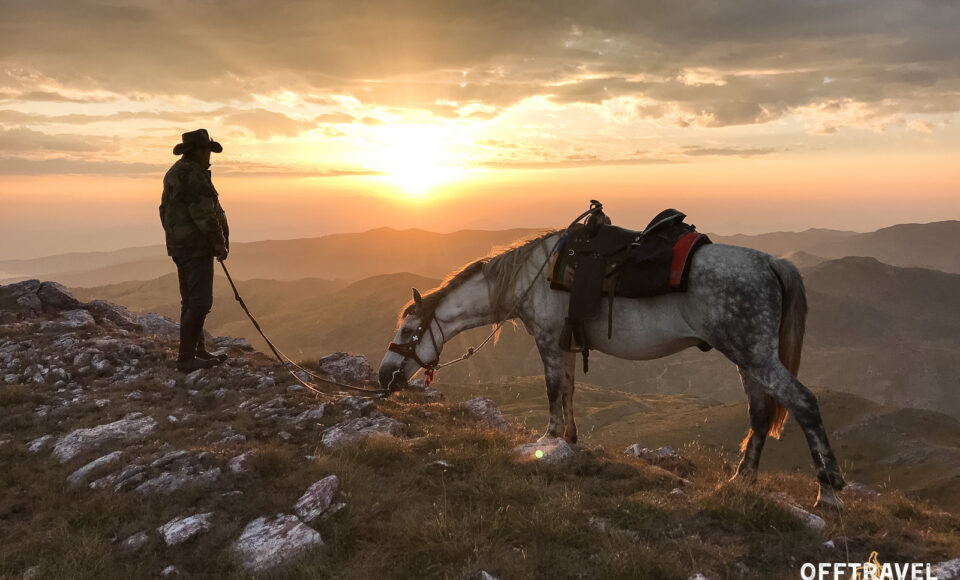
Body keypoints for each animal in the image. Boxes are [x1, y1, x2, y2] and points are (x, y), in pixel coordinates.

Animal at [378, 231, 844, 508]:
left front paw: (547, 440)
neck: (531, 277)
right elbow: (567, 389)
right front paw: (569, 439)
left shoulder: (548, 339)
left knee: (803, 402)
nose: (383, 377)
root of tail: (771, 263)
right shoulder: (564, 342)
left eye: (408, 328)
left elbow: (553, 389)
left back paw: (829, 491)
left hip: (755, 355)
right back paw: (741, 479)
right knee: (761, 413)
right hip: (748, 358)